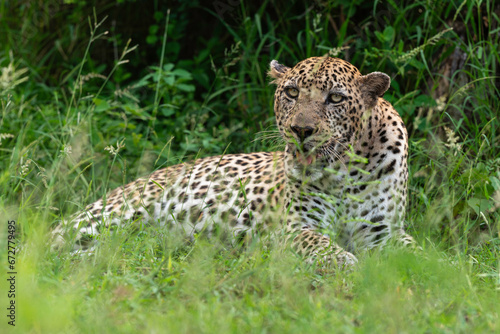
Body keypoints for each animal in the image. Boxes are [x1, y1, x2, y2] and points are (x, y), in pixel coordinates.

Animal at [52, 56, 416, 270]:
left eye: (336, 98)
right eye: (292, 93)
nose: (301, 130)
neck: (344, 172)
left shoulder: (384, 230)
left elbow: (416, 252)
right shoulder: (292, 227)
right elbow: (317, 243)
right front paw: (344, 261)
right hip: (115, 213)